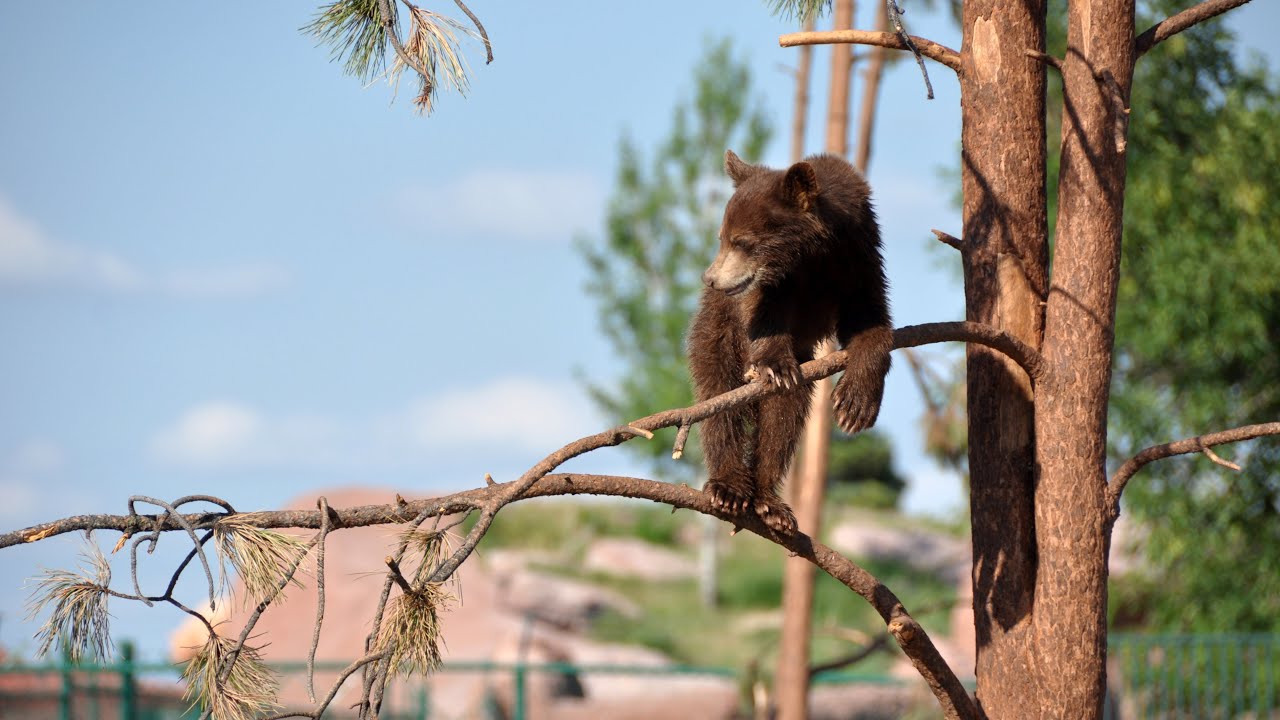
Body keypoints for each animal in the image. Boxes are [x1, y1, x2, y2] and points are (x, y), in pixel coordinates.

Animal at [687, 149, 892, 534]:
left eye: (742, 241)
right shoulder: (775, 289)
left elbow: (870, 322)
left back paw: (769, 502)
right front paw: (777, 366)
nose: (710, 279)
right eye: (723, 237)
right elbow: (764, 321)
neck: (814, 255)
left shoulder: (859, 257)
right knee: (719, 399)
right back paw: (729, 487)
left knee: (784, 419)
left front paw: (855, 405)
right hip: (716, 333)